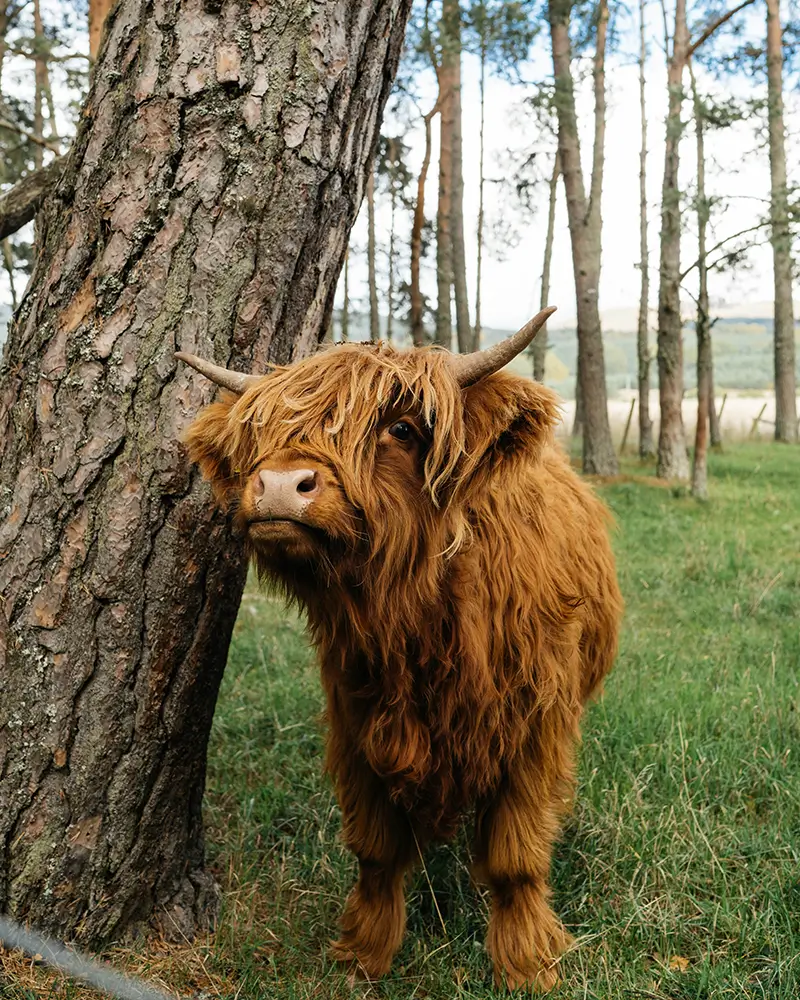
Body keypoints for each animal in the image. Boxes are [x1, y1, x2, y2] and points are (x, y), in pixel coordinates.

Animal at [177, 307, 622, 991]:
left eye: (402, 428)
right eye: (262, 435)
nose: (278, 486)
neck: (418, 623)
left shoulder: (535, 728)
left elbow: (516, 853)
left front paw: (527, 963)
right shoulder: (357, 720)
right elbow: (376, 848)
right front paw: (364, 951)